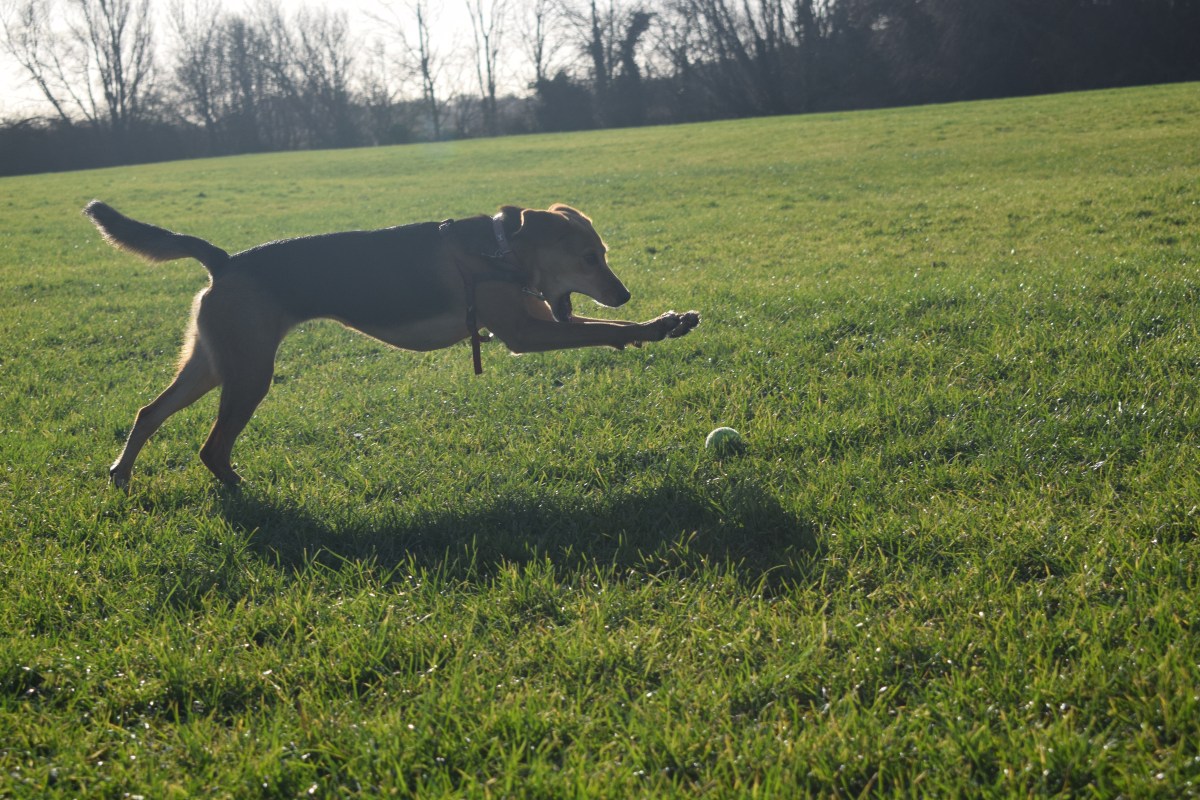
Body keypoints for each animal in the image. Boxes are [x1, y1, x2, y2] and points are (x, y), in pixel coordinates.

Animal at [84, 201, 700, 487]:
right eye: (590, 258)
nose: (623, 293)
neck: (500, 250)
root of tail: (224, 262)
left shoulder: (536, 321)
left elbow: (600, 330)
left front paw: (660, 323)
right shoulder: (528, 334)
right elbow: (605, 331)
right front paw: (655, 325)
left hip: (214, 363)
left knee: (149, 412)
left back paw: (121, 473)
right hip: (249, 373)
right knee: (211, 448)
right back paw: (240, 490)